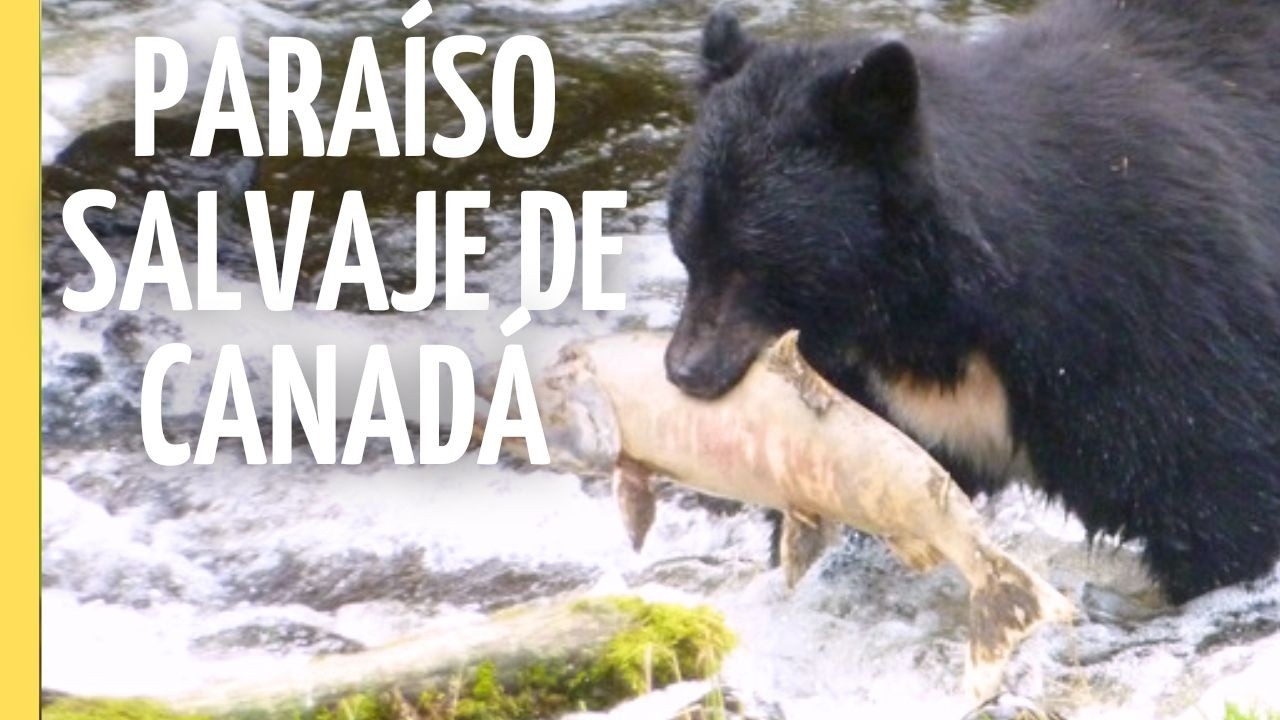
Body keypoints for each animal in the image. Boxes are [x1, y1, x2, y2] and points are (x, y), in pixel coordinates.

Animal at [662, 0, 1280, 604]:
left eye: (751, 263)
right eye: (688, 251)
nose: (686, 370)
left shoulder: (1148, 310)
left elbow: (1216, 491)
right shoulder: (876, 396)